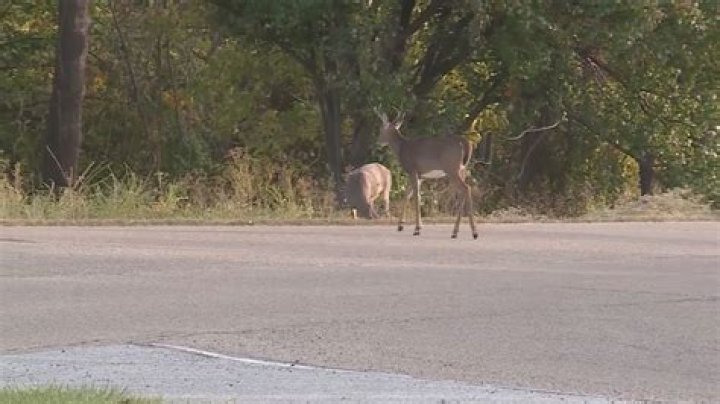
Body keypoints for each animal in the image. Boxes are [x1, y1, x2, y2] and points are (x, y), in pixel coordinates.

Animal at [374, 108, 478, 239]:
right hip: (462, 169)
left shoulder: (412, 170)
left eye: (380, 130)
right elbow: (407, 195)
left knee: (466, 188)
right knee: (461, 193)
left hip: (452, 168)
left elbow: (416, 196)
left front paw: (417, 228)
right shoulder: (420, 175)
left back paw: (473, 232)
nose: (378, 142)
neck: (402, 148)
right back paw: (456, 232)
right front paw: (401, 225)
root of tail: (465, 143)